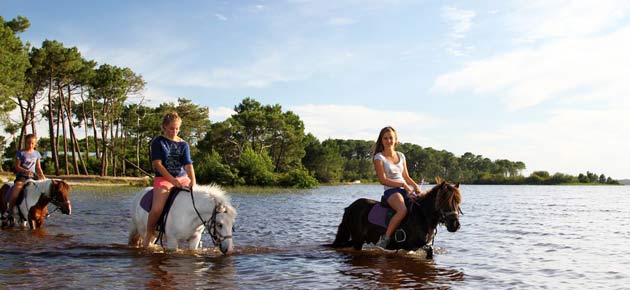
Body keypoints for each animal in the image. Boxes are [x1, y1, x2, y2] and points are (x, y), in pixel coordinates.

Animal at [330, 178, 464, 258]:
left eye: (457, 202)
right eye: (444, 201)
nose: (455, 225)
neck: (422, 216)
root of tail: (349, 208)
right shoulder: (410, 245)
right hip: (357, 240)